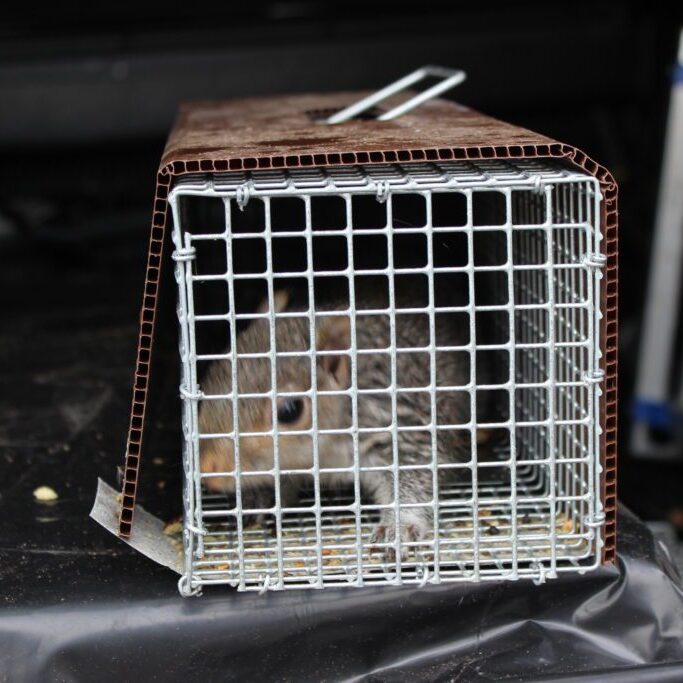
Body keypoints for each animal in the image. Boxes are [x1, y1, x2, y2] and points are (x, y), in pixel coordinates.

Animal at [198, 276, 471, 559]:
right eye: (212, 374)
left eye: (290, 411)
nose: (206, 470)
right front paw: (259, 497)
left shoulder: (403, 426)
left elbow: (416, 475)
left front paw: (399, 526)